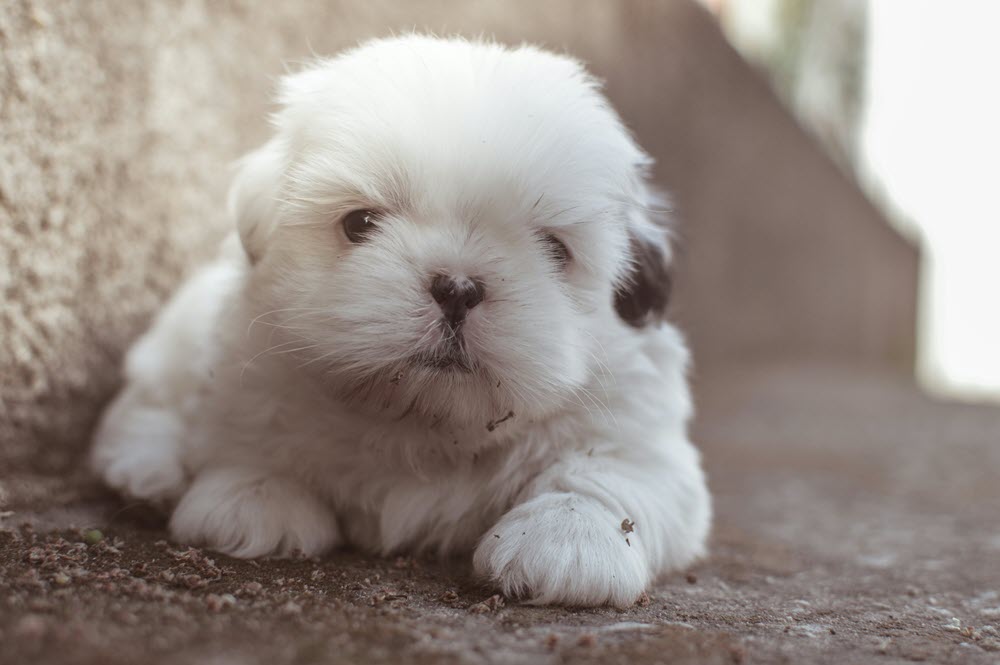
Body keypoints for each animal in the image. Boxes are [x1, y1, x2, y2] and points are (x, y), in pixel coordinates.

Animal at [90, 36, 708, 608]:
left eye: (556, 250)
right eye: (359, 223)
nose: (457, 288)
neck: (427, 423)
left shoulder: (642, 437)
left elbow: (605, 475)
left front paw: (567, 541)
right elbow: (247, 433)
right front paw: (254, 497)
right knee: (150, 397)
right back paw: (148, 466)